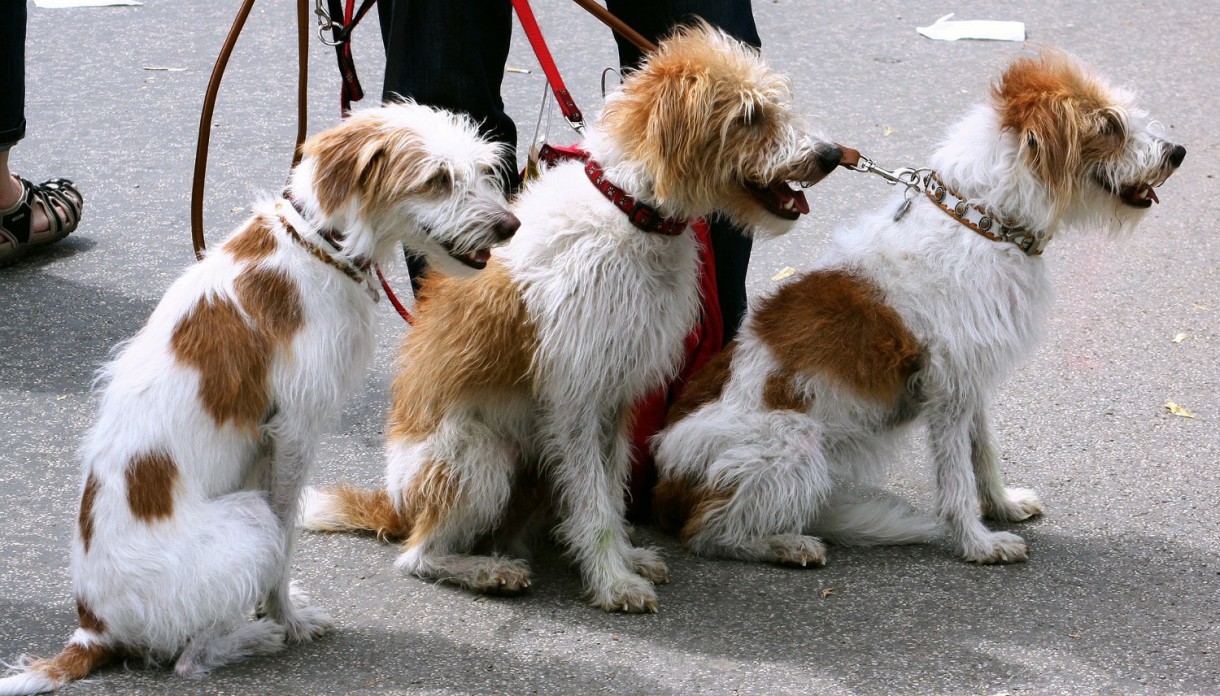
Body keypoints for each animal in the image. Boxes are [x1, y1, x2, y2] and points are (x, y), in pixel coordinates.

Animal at [0, 103, 514, 693]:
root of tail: (92, 627)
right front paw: (284, 618)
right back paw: (258, 636)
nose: (511, 226)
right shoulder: (292, 433)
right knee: (189, 659)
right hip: (247, 520)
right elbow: (287, 540)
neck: (320, 245)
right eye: (437, 180)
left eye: (483, 170)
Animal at [300, 24, 844, 610]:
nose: (832, 154)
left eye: (775, 104)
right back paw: (486, 571)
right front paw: (612, 580)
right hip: (481, 454)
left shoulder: (618, 397)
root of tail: (397, 503)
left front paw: (626, 560)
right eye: (749, 115)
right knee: (416, 556)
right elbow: (593, 501)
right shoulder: (576, 400)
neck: (630, 211)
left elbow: (609, 488)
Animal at [653, 52, 1185, 564]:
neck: (982, 221)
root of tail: (664, 487)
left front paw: (1002, 504)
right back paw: (785, 545)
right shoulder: (948, 389)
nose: (1176, 153)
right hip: (793, 440)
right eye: (1110, 125)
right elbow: (955, 476)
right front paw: (976, 543)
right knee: (707, 533)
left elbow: (983, 450)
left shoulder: (972, 377)